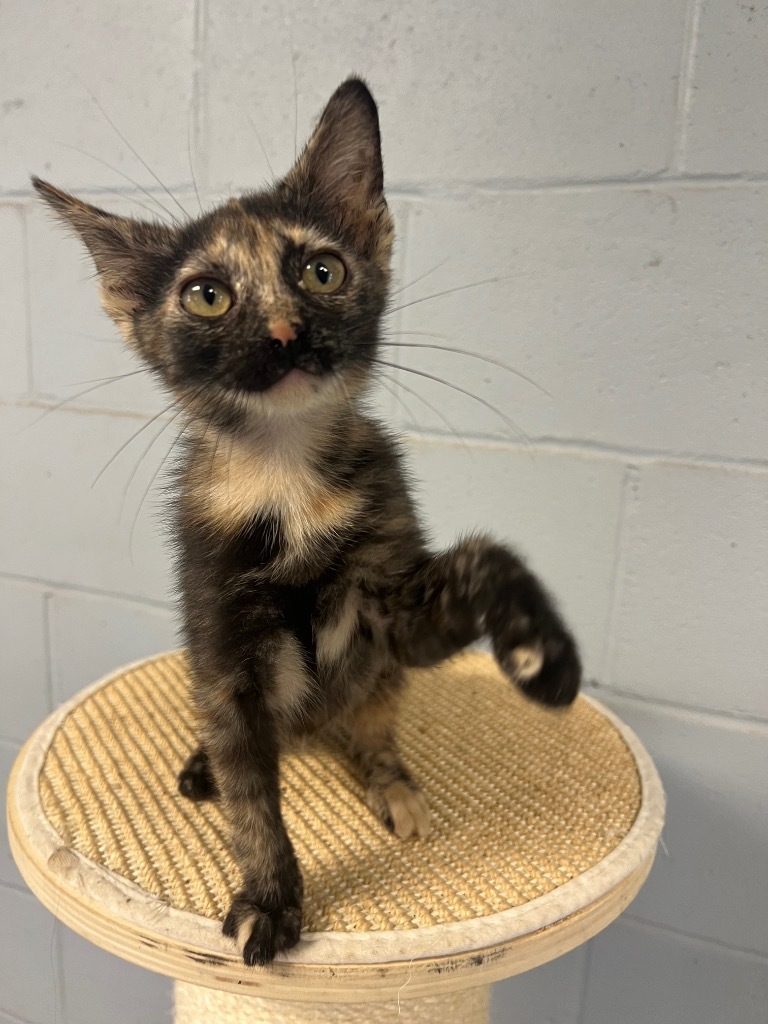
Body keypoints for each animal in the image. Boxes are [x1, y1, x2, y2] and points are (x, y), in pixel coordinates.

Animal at [33, 75, 581, 962]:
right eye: (207, 295)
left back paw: (390, 781)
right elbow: (252, 797)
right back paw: (207, 768)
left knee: (369, 729)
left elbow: (481, 559)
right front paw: (270, 895)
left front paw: (538, 647)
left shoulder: (395, 608)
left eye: (322, 272)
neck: (285, 477)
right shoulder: (224, 652)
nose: (286, 333)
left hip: (377, 683)